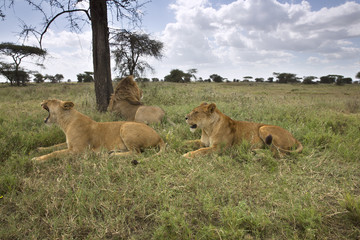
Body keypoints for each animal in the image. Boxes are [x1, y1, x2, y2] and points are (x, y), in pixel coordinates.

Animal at [31, 98, 165, 162]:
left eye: (52, 101)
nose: (42, 101)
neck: (65, 123)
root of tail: (159, 137)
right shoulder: (69, 144)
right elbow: (55, 146)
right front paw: (39, 149)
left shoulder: (79, 151)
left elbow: (56, 153)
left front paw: (36, 159)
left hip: (125, 126)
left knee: (137, 153)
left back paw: (111, 155)